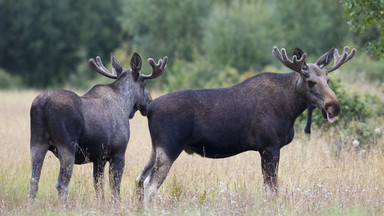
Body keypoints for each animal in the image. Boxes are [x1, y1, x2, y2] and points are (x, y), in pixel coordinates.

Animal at [29, 51, 167, 203]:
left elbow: (98, 187)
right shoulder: (118, 153)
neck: (126, 104)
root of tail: (42, 105)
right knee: (61, 184)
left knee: (34, 181)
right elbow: (115, 187)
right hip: (66, 146)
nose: (149, 101)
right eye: (144, 83)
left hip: (37, 142)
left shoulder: (98, 158)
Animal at [136, 45, 356, 204]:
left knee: (139, 179)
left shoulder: (265, 150)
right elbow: (273, 187)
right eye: (310, 81)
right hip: (169, 147)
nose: (334, 107)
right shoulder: (270, 147)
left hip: (156, 148)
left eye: (328, 79)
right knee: (150, 185)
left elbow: (269, 186)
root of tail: (150, 108)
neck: (290, 108)